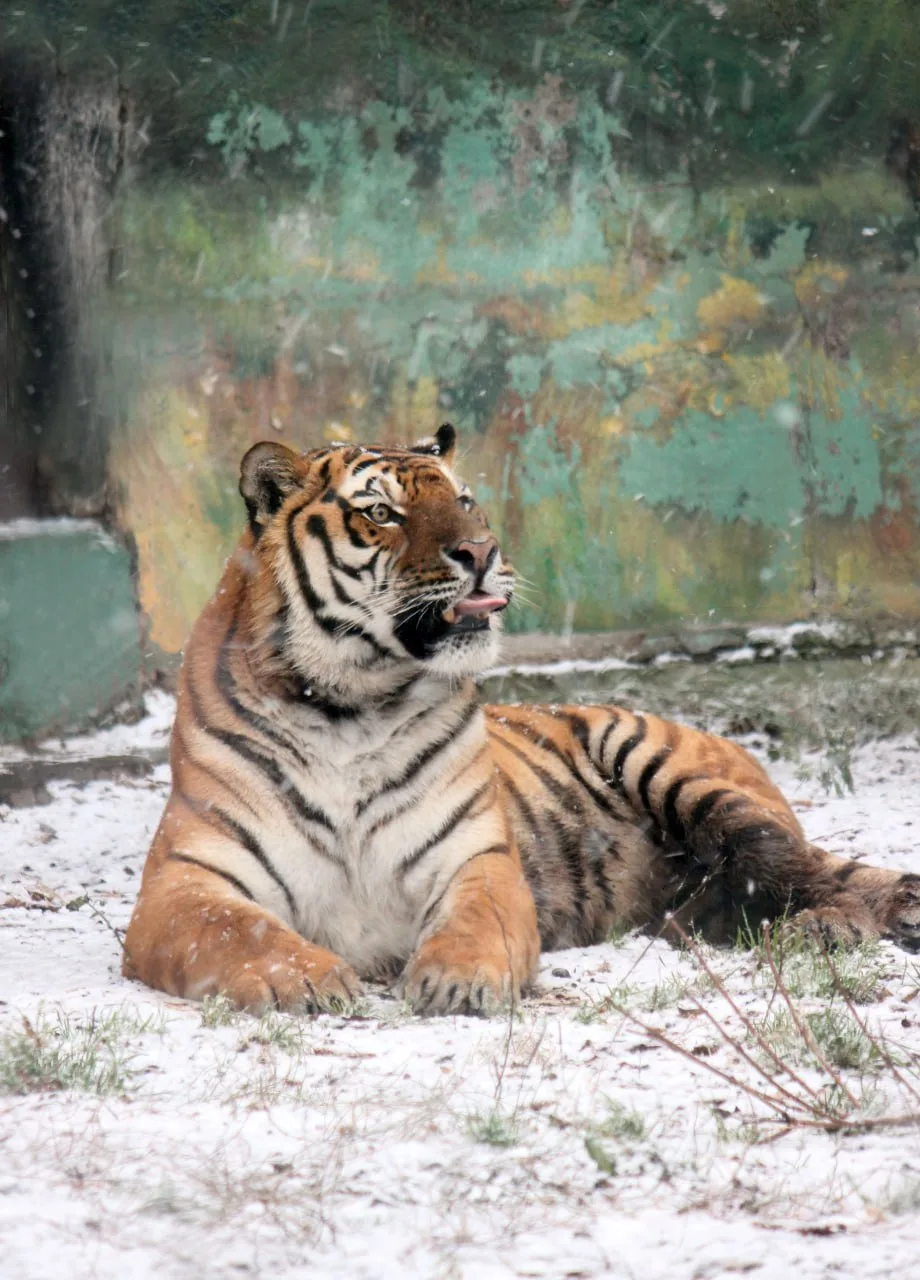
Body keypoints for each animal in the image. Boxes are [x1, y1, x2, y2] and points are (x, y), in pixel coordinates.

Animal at [123, 422, 920, 1016]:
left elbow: (477, 921)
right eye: (381, 513)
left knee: (804, 868)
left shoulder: (475, 856)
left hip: (672, 768)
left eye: (466, 500)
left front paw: (457, 981)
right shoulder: (184, 882)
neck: (350, 704)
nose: (481, 551)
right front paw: (304, 978)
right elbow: (238, 928)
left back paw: (836, 926)